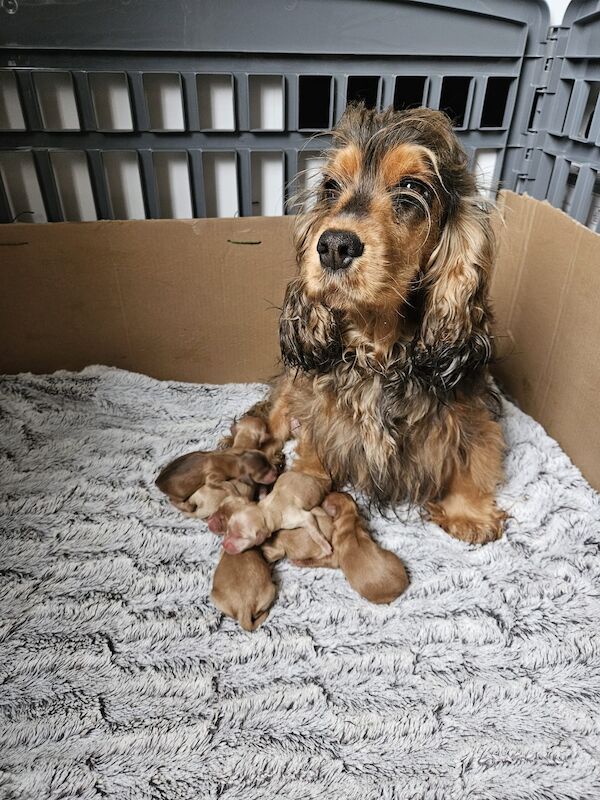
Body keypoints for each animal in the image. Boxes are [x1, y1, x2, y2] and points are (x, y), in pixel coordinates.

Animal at [246, 106, 504, 544]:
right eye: (330, 187)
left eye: (412, 188)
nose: (334, 245)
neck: (379, 346)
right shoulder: (320, 411)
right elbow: (315, 443)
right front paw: (304, 479)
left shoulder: (469, 413)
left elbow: (471, 457)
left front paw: (469, 513)